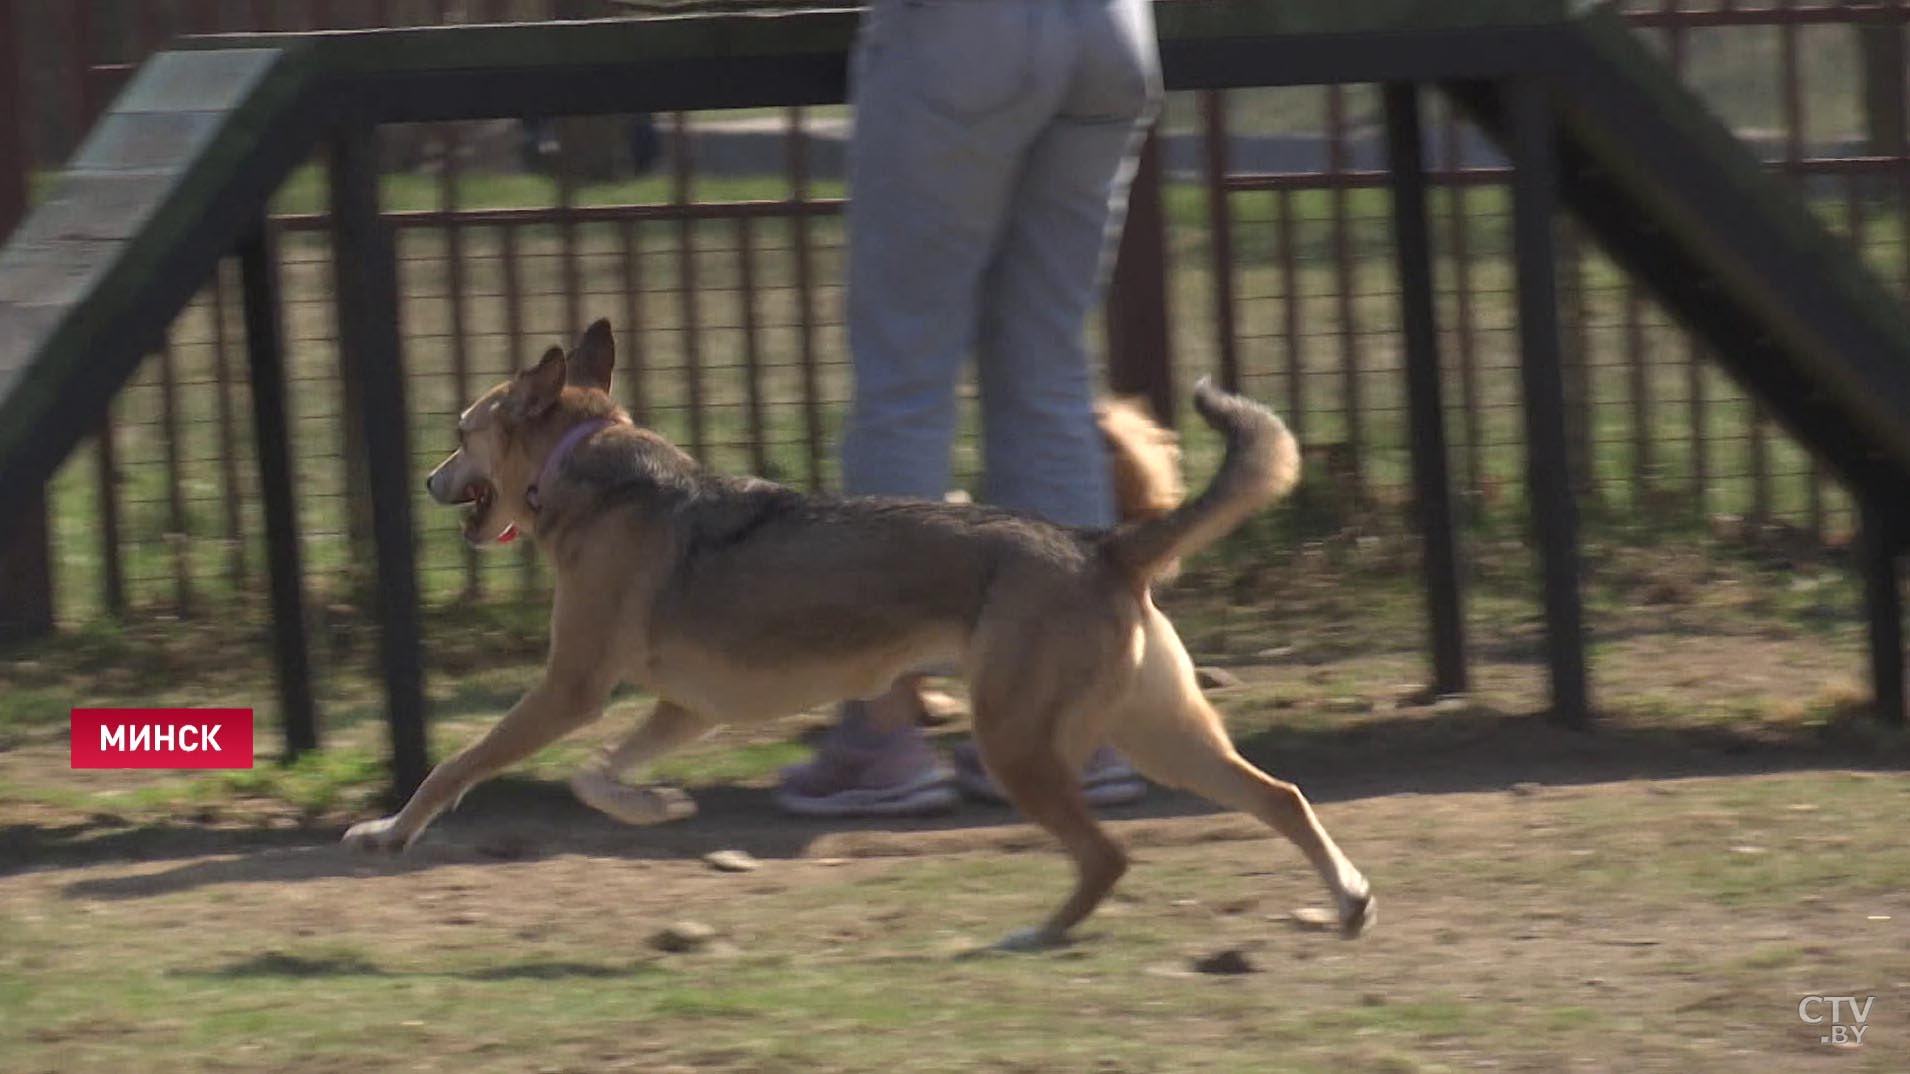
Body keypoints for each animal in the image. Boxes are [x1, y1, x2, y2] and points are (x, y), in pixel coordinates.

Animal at [343, 317, 1375, 944]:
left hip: (1023, 738)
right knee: (1279, 795)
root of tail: (1101, 544)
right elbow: (599, 774)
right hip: (1159, 729)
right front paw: (657, 809)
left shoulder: (571, 688)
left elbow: (459, 765)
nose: (429, 478)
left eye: (463, 431)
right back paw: (1350, 902)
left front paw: (388, 834)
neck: (585, 460)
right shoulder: (685, 706)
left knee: (1108, 853)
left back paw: (1035, 934)